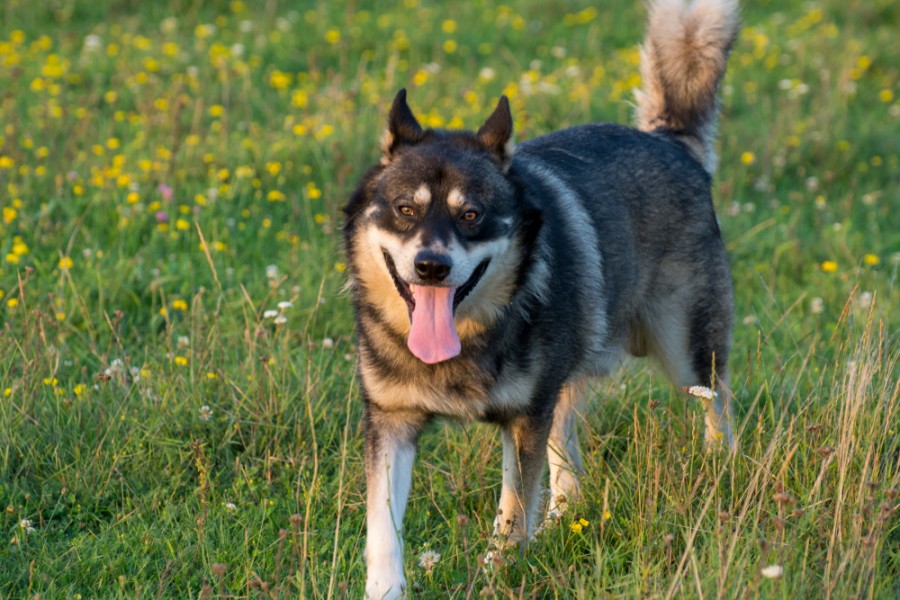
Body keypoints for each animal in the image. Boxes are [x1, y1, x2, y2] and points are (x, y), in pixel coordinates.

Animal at [342, 0, 740, 596]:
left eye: (471, 214)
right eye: (405, 210)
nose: (431, 266)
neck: (470, 338)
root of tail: (669, 140)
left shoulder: (524, 416)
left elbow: (512, 510)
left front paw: (498, 572)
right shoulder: (392, 420)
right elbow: (383, 529)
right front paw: (386, 588)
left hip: (687, 351)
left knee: (718, 407)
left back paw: (723, 473)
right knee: (569, 467)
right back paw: (562, 524)